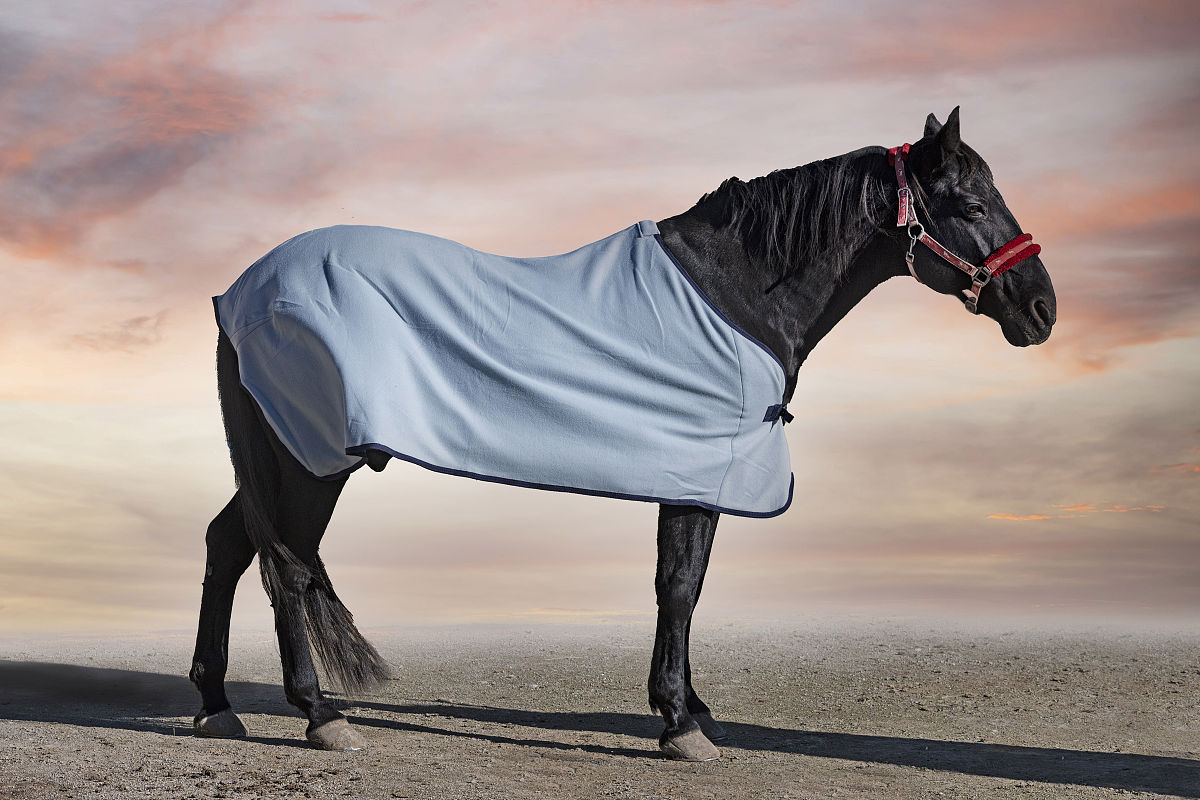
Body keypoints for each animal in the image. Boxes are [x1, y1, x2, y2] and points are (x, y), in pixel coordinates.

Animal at [189, 108, 1056, 761]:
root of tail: (241, 291)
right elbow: (680, 587)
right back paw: (320, 715)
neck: (735, 294)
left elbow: (690, 587)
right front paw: (678, 723)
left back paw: (216, 703)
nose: (1042, 310)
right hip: (312, 460)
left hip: (284, 457)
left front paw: (693, 709)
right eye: (972, 207)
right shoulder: (699, 475)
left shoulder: (702, 476)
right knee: (288, 566)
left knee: (231, 544)